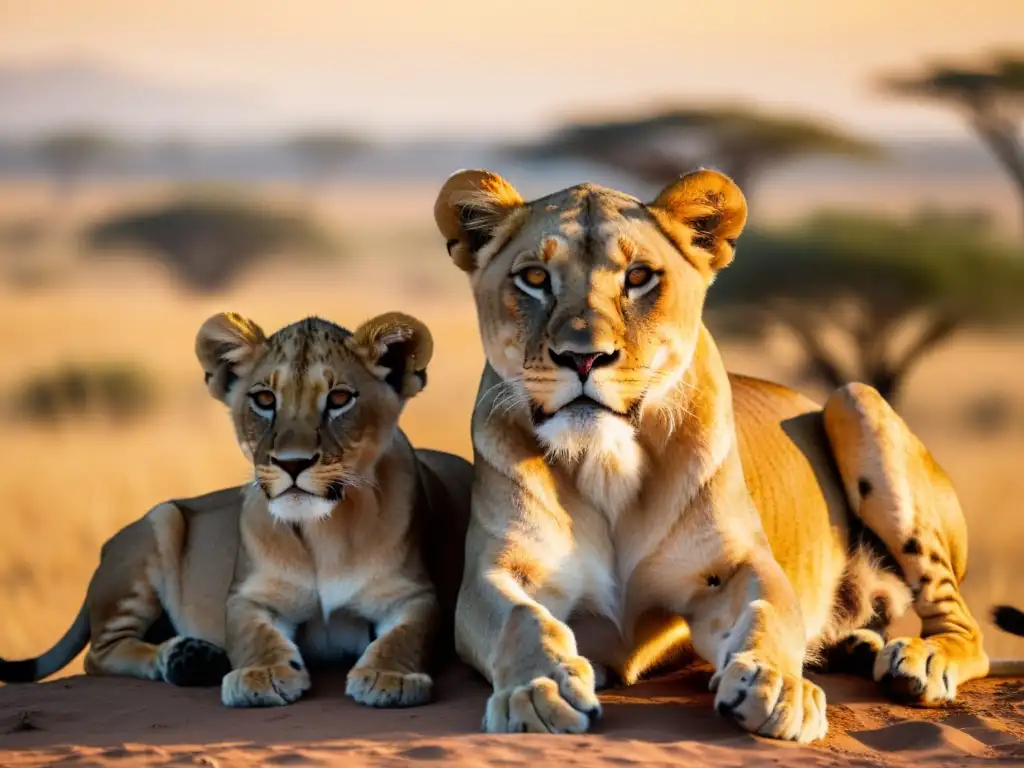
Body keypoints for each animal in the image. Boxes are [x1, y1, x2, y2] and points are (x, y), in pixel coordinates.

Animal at [434, 169, 1024, 745]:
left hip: (856, 400)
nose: (584, 358)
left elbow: (769, 612)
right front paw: (540, 689)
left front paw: (777, 687)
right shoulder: (493, 574)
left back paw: (917, 660)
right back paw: (855, 647)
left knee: (964, 628)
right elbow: (521, 618)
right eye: (534, 278)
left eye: (639, 277)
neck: (605, 460)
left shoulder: (741, 565)